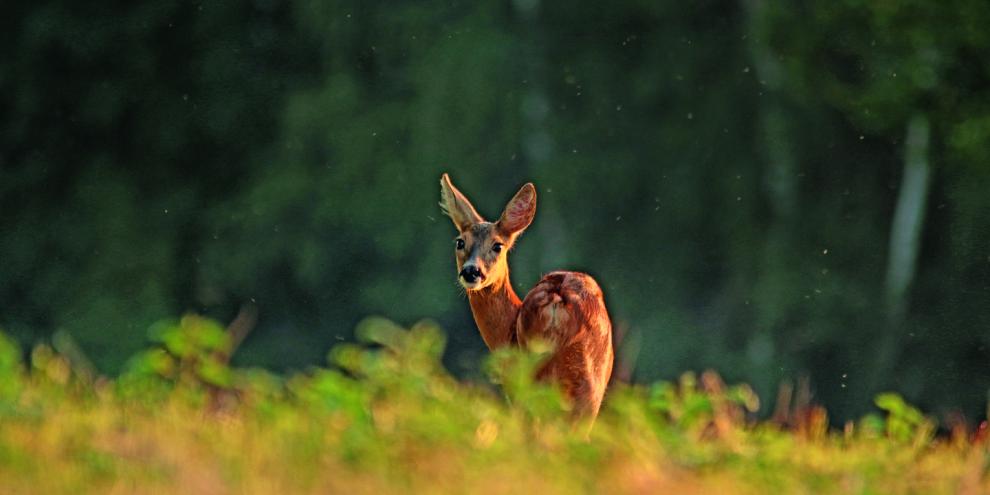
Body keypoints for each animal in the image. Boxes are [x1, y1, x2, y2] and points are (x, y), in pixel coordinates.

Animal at [439, 173, 614, 420]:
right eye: (460, 242)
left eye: (497, 245)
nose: (471, 271)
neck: (507, 330)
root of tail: (556, 299)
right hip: (585, 383)